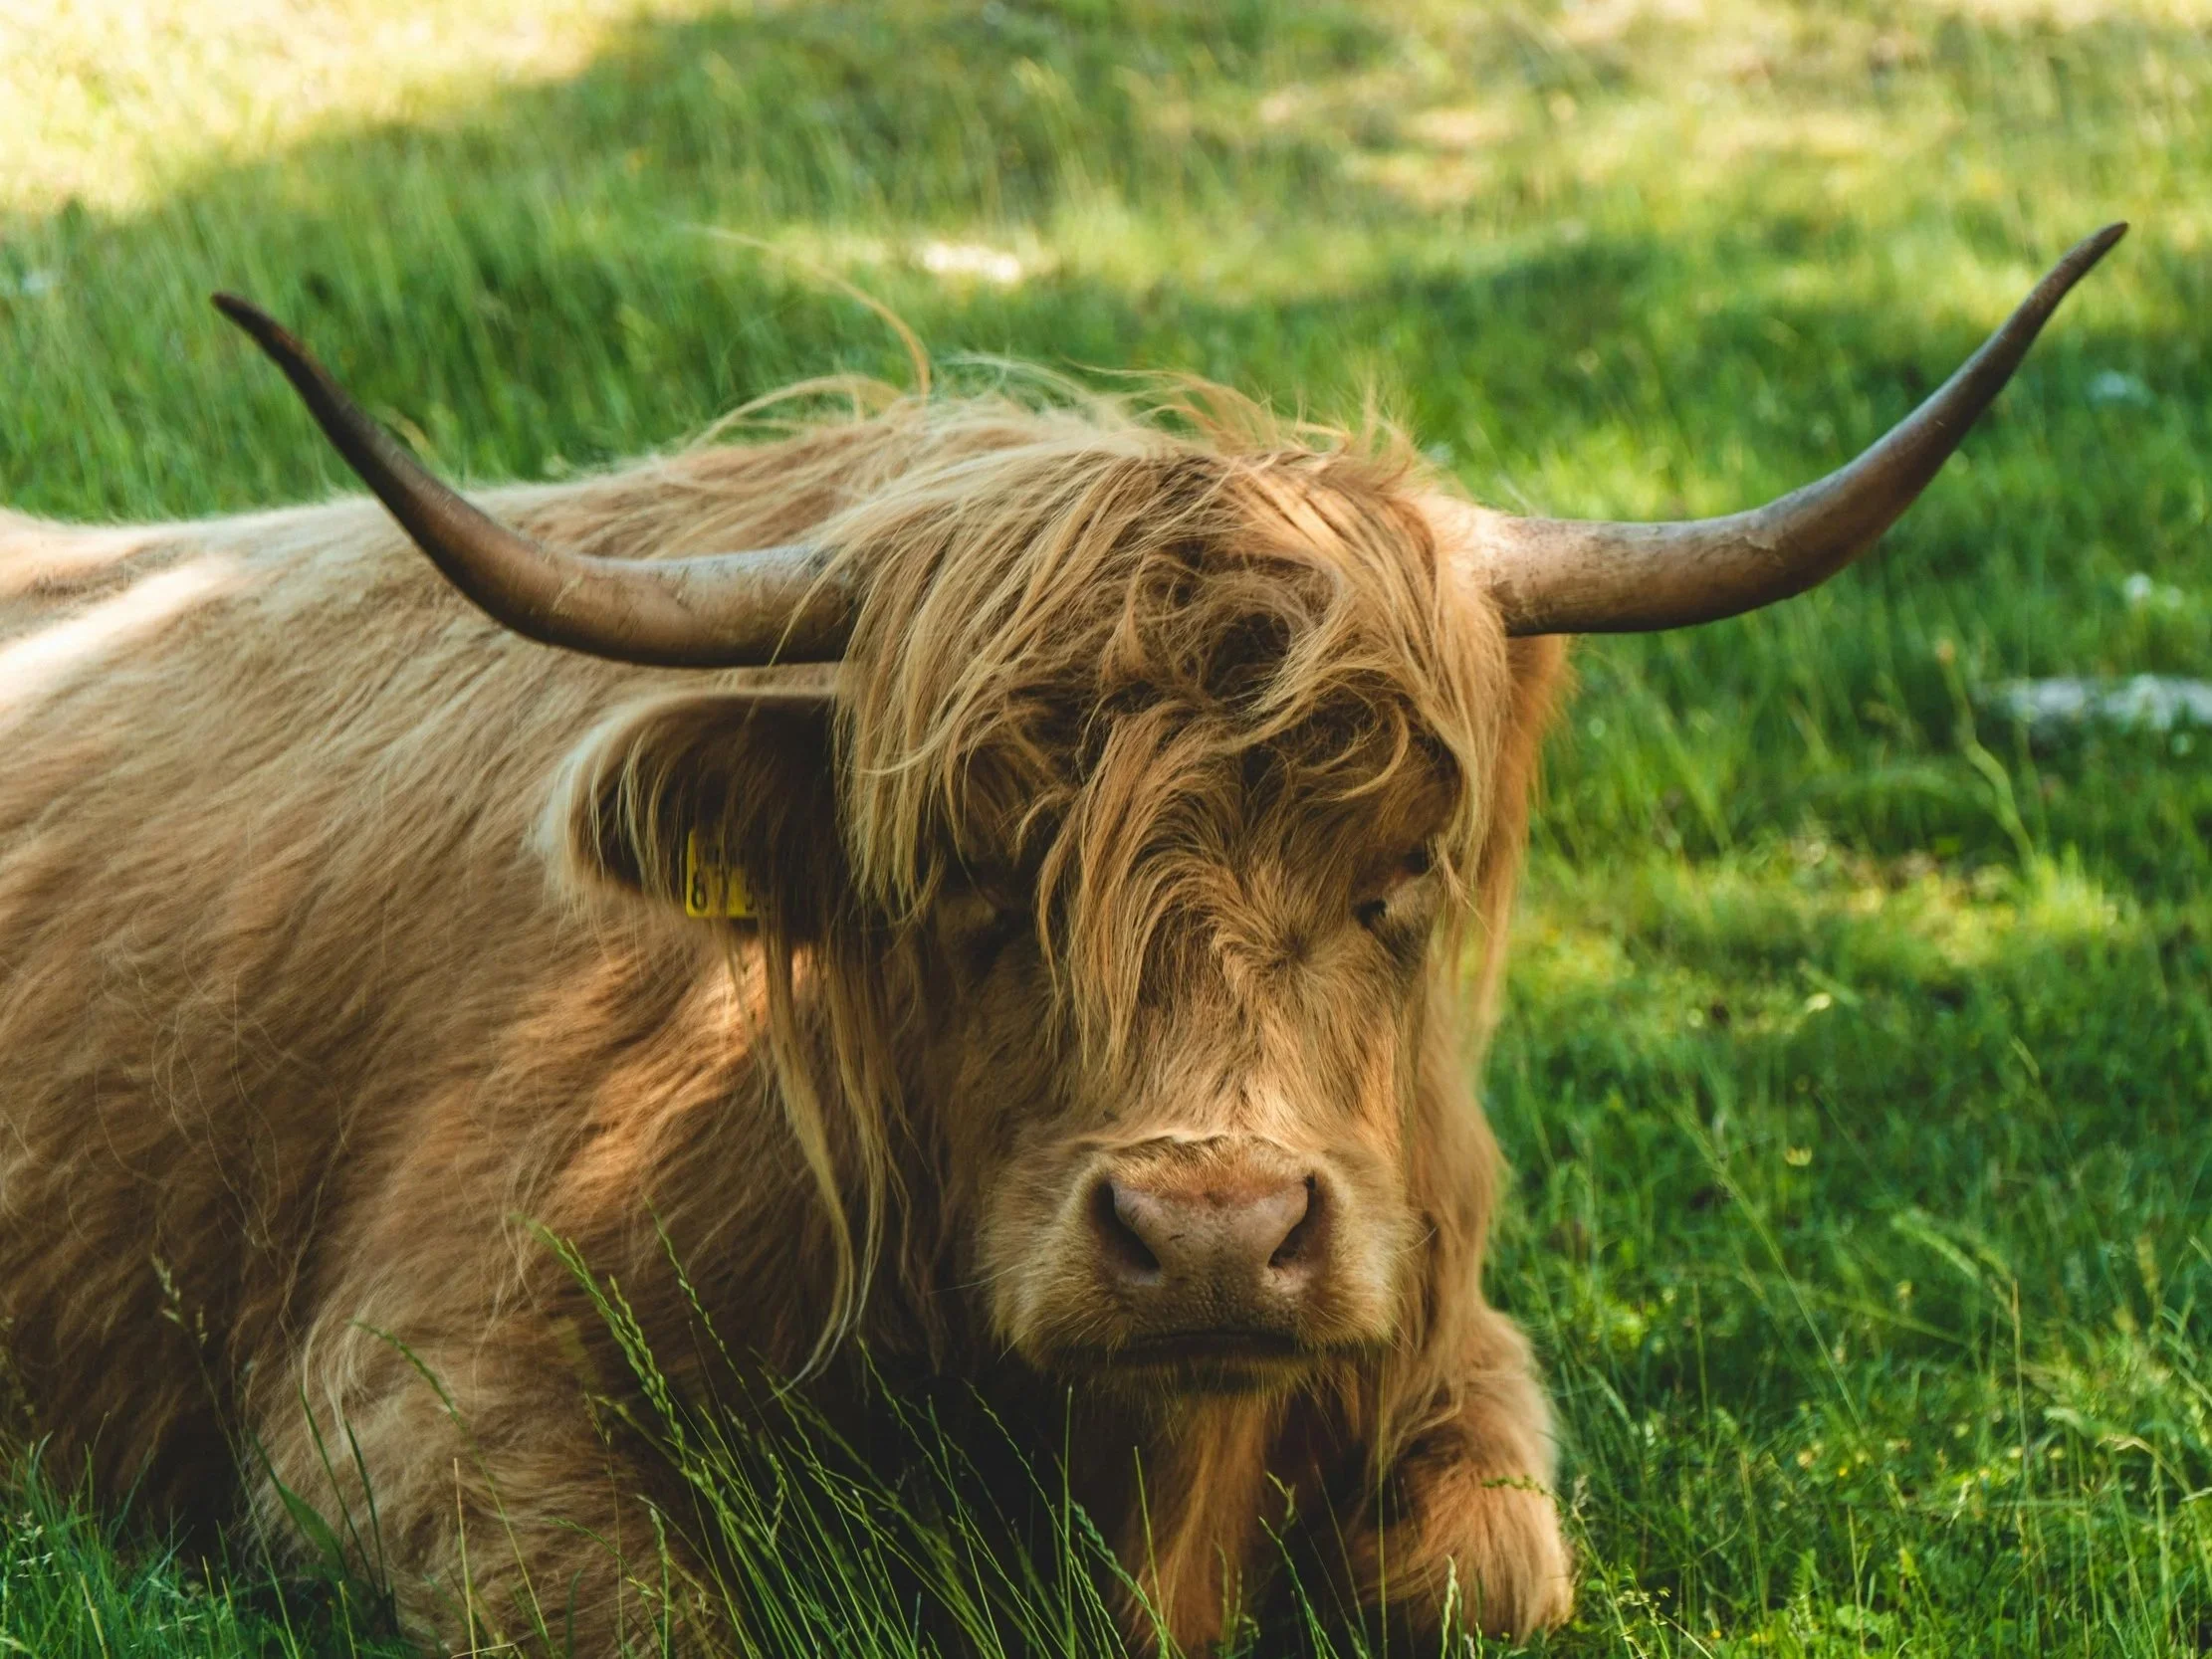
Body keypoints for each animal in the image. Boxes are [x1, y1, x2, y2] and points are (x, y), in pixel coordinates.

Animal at [0, 224, 2119, 1654]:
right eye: (967, 878)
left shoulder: (1450, 1345)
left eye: (1398, 875)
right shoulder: (414, 1412)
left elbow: (1484, 1579)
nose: (1211, 1231)